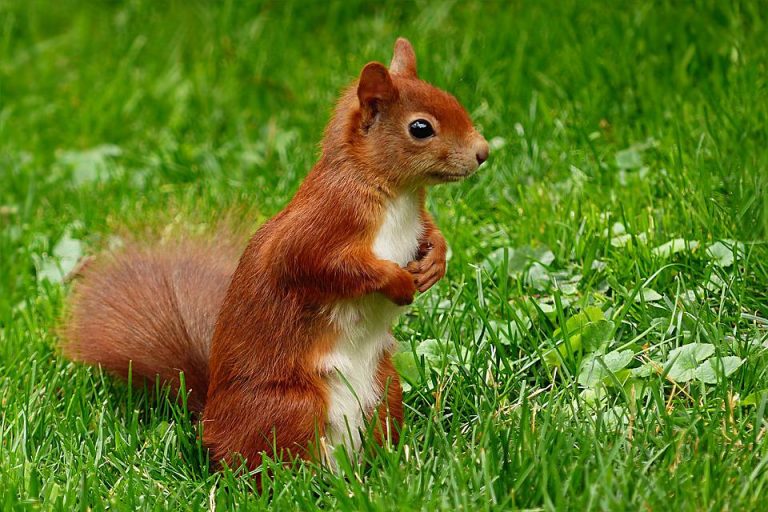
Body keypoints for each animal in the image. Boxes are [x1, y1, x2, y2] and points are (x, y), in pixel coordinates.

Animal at [62, 38, 489, 471]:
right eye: (421, 128)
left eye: (453, 99)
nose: (483, 152)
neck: (397, 195)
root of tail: (210, 419)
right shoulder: (321, 225)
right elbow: (322, 266)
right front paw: (398, 281)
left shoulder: (414, 220)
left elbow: (431, 234)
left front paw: (435, 262)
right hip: (291, 408)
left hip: (386, 391)